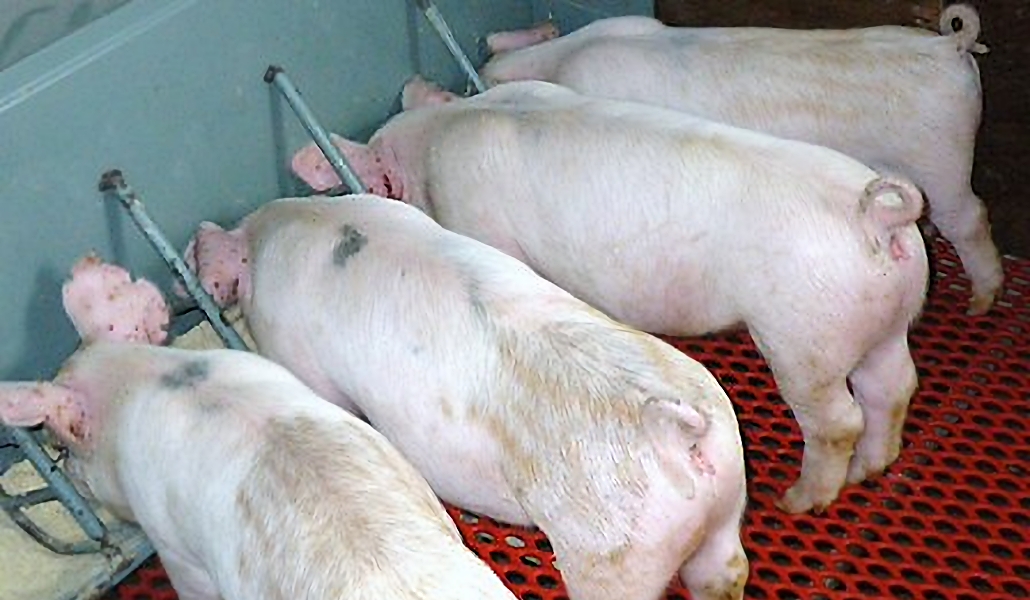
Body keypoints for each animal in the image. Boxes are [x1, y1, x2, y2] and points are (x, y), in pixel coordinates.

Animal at [289, 80, 930, 515]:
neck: (439, 135)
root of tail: (875, 216)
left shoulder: (480, 222)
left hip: (802, 335)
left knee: (837, 417)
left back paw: (799, 500)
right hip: (884, 319)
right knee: (894, 384)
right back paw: (874, 467)